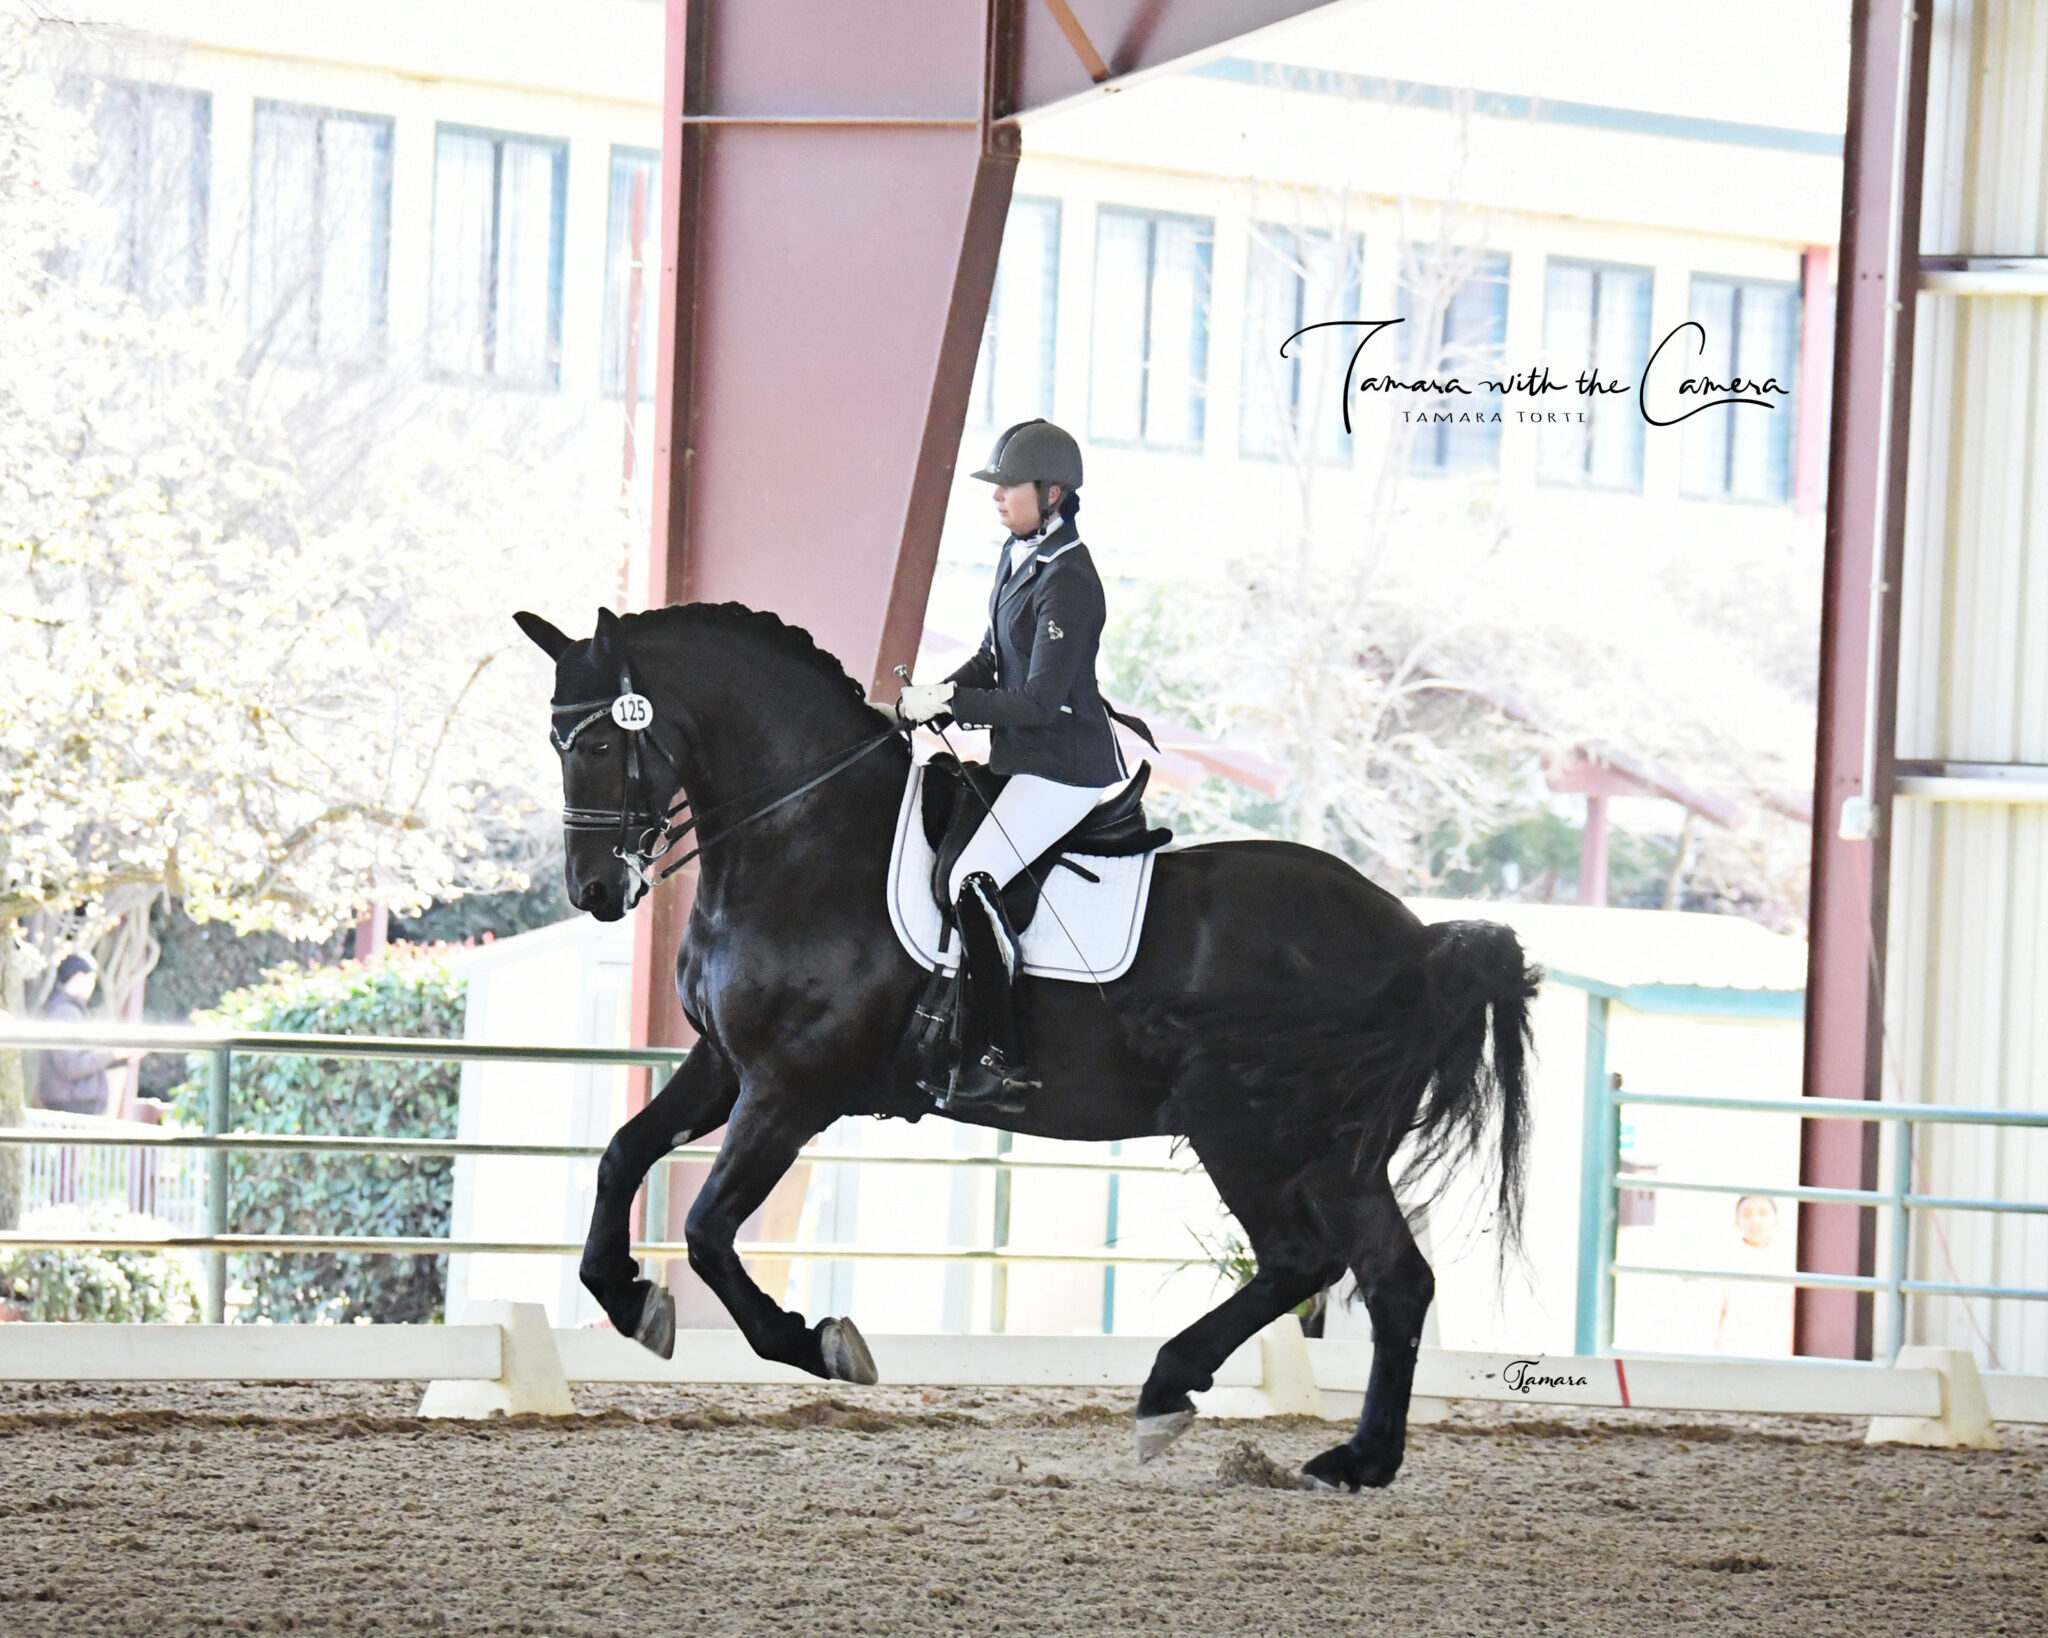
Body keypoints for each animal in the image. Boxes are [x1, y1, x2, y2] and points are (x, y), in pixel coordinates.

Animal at [512, 597, 1540, 1482]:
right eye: (556, 740)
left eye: (597, 740)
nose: (597, 892)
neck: (804, 837)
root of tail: (1414, 938)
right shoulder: (727, 1065)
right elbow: (621, 1157)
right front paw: (629, 1299)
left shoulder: (792, 1091)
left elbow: (708, 1231)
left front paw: (821, 1344)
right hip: (1330, 1148)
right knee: (1392, 1278)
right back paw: (1355, 1459)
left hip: (1244, 1125)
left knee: (1304, 1258)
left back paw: (1177, 1393)